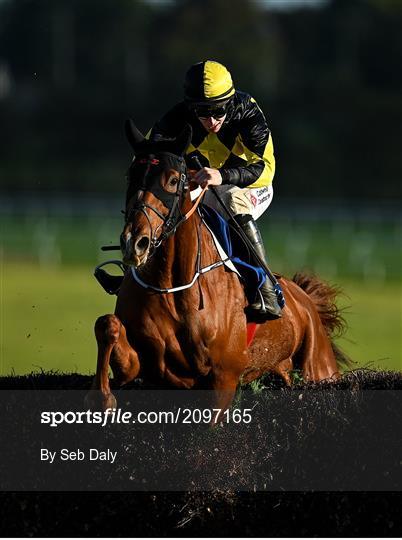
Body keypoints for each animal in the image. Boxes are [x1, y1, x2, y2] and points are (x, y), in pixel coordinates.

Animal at [85, 120, 348, 412]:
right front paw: (101, 396)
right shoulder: (146, 368)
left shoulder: (223, 378)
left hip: (319, 368)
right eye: (131, 176)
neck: (172, 287)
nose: (135, 242)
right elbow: (108, 325)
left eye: (173, 180)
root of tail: (305, 300)